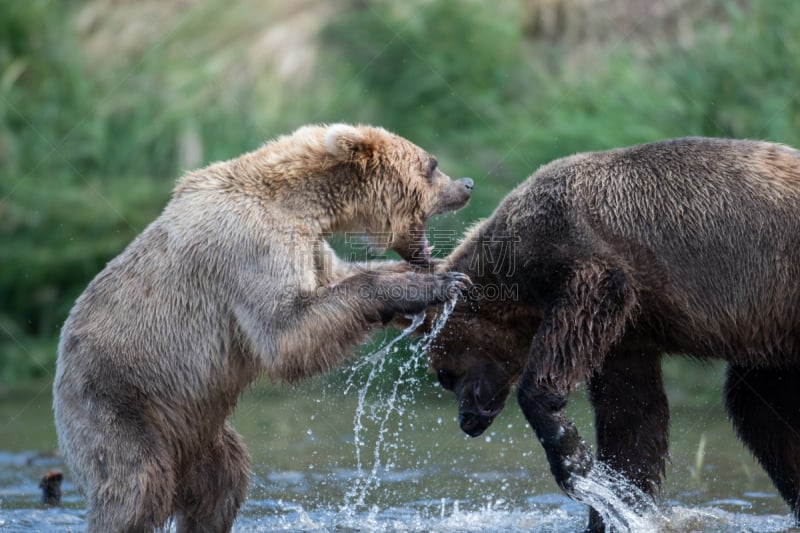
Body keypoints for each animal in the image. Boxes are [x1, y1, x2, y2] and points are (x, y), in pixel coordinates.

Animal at [53, 123, 472, 532]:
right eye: (432, 165)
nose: (466, 184)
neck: (300, 203)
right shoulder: (253, 246)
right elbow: (287, 333)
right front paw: (429, 284)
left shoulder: (310, 248)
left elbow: (337, 278)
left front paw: (447, 280)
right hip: (114, 401)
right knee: (137, 484)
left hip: (199, 426)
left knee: (223, 481)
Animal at [428, 138, 800, 532]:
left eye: (444, 375)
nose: (467, 419)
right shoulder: (629, 334)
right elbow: (631, 415)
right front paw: (616, 503)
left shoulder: (575, 252)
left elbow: (591, 299)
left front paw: (574, 460)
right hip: (773, 337)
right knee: (760, 409)